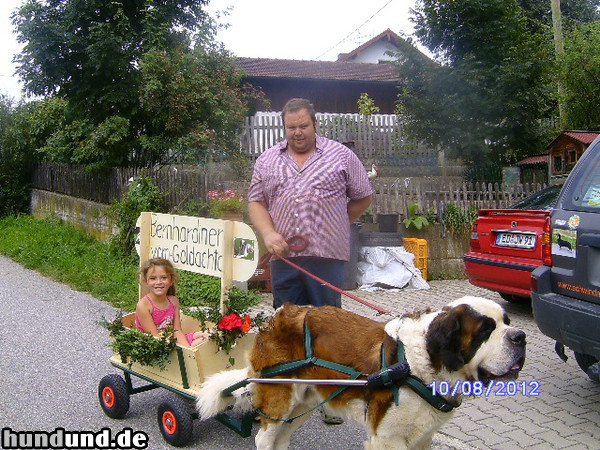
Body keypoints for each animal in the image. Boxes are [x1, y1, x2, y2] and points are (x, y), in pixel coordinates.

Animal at [196, 298, 524, 448]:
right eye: (485, 330)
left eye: (507, 323)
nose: (520, 336)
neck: (418, 365)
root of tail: (276, 317)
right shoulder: (388, 438)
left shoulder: (422, 437)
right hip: (281, 397)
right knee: (265, 438)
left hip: (302, 403)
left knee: (281, 437)